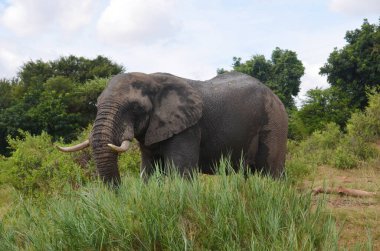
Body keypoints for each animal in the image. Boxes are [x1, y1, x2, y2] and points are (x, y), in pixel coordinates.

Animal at [57, 71, 288, 185]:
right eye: (96, 105)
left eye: (135, 107)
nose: (118, 194)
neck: (152, 79)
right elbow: (149, 173)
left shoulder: (188, 128)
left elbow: (180, 173)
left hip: (275, 123)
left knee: (271, 174)